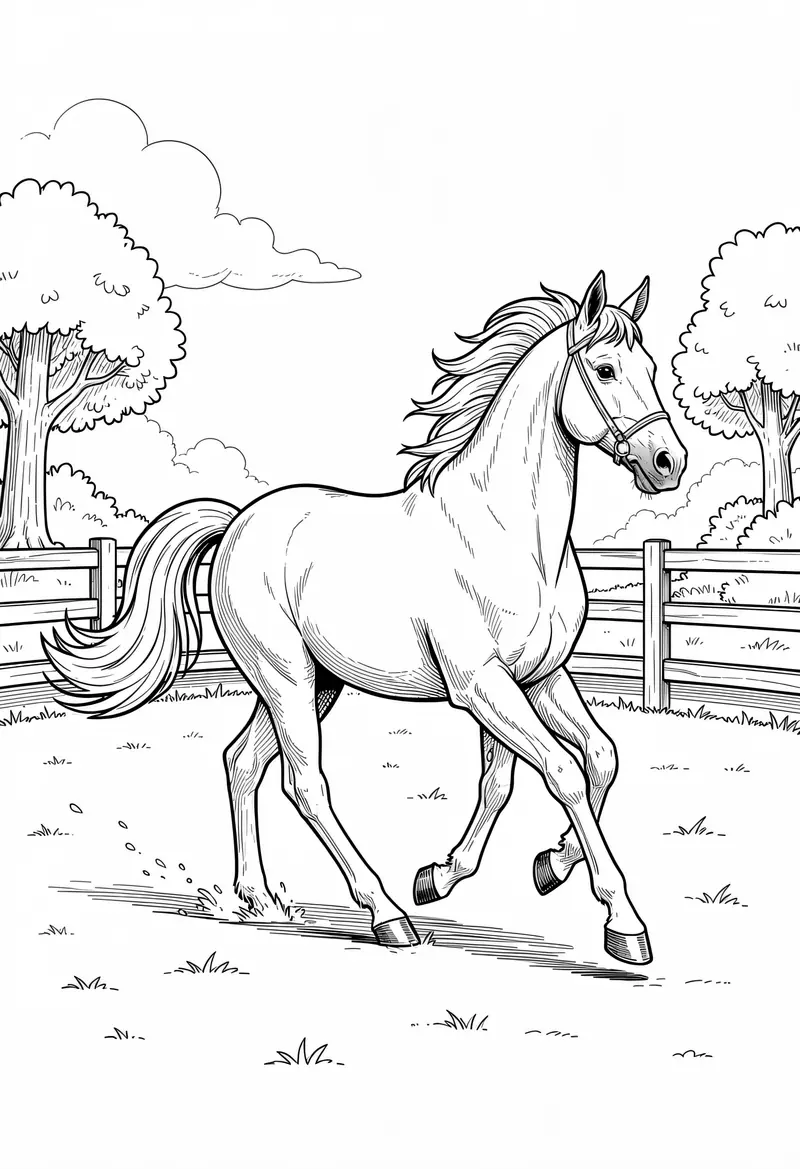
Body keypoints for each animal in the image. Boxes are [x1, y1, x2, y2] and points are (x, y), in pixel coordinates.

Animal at [43, 270, 686, 965]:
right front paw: (624, 924)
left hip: (314, 683)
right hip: (287, 679)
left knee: (243, 762)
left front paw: (504, 870)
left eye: (652, 367)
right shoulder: (480, 684)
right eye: (605, 368)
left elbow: (581, 761)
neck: (508, 534)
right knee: (305, 783)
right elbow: (562, 772)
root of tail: (238, 522)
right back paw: (386, 915)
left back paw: (258, 899)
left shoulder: (536, 678)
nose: (668, 463)